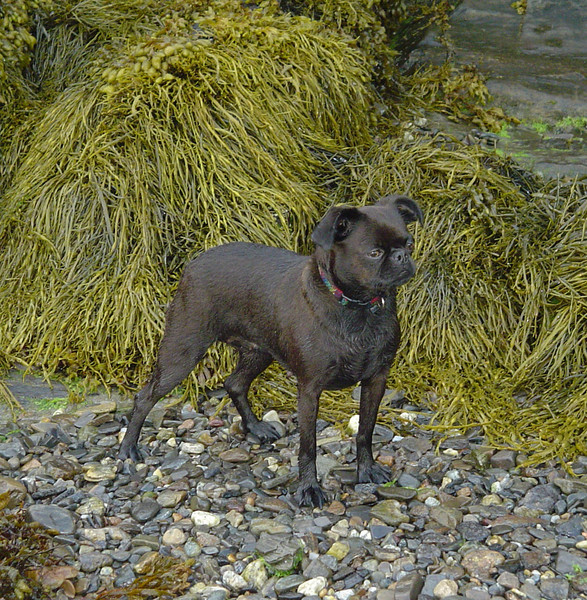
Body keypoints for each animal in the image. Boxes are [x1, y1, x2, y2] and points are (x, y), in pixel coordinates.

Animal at [119, 196, 422, 506]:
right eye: (374, 253)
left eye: (409, 243)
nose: (401, 256)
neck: (357, 307)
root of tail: (193, 264)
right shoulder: (309, 389)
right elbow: (308, 446)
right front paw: (309, 488)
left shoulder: (376, 379)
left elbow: (365, 431)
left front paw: (367, 469)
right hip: (182, 352)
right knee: (145, 396)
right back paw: (128, 448)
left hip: (258, 352)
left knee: (234, 383)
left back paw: (256, 427)